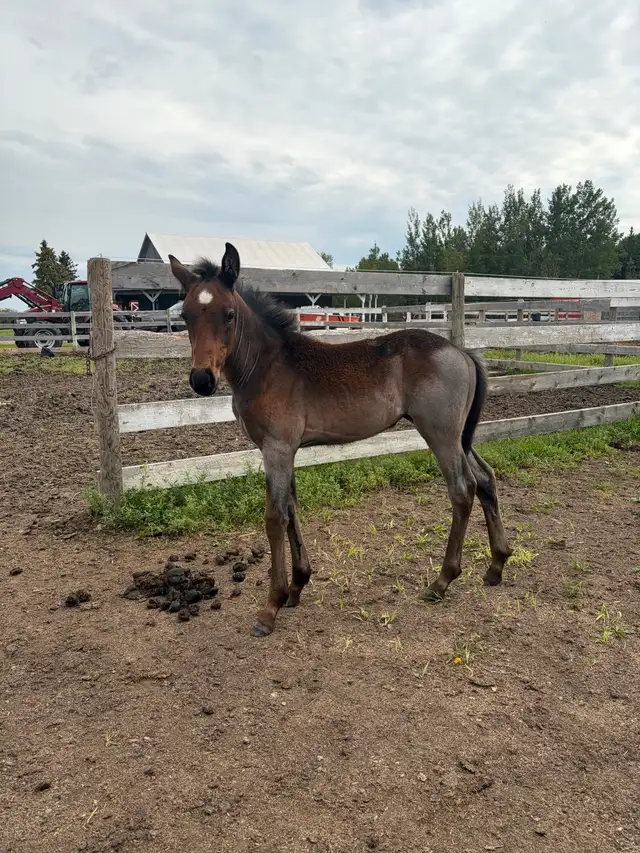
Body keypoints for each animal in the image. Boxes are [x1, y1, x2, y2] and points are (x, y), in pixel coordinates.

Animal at [168, 243, 512, 637]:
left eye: (228, 314)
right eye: (186, 315)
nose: (201, 380)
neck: (267, 367)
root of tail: (463, 353)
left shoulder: (276, 449)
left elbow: (274, 517)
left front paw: (270, 607)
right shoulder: (287, 451)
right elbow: (291, 508)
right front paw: (297, 587)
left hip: (441, 435)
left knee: (462, 488)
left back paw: (442, 581)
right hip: (459, 438)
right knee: (485, 478)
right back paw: (496, 565)